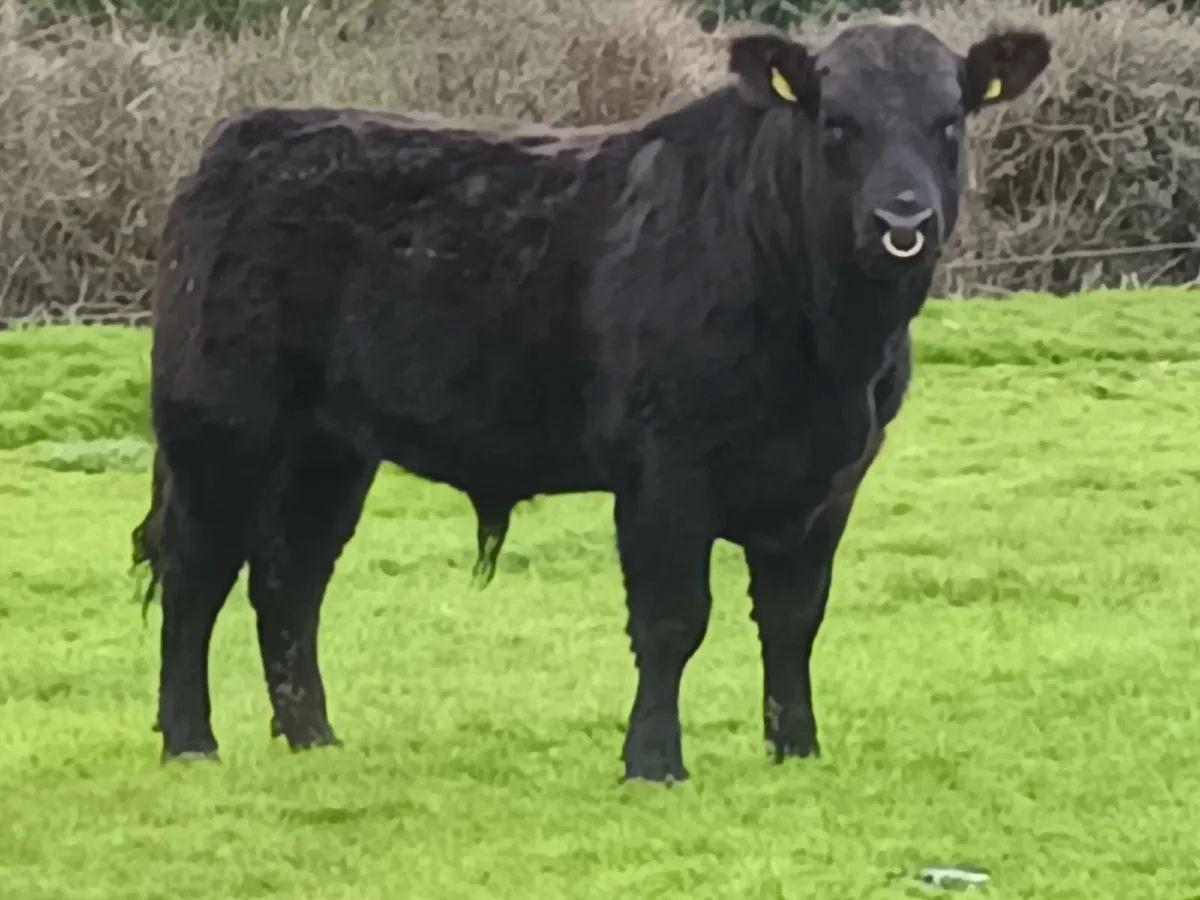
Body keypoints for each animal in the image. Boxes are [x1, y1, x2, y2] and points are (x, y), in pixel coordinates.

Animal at [131, 21, 1051, 782]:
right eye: (837, 124)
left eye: (949, 121)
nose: (904, 220)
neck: (831, 350)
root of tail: (247, 137)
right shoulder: (665, 471)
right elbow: (673, 620)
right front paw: (654, 762)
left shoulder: (832, 482)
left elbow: (794, 619)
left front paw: (796, 748)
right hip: (218, 430)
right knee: (196, 574)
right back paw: (189, 741)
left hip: (328, 451)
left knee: (290, 577)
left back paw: (313, 735)